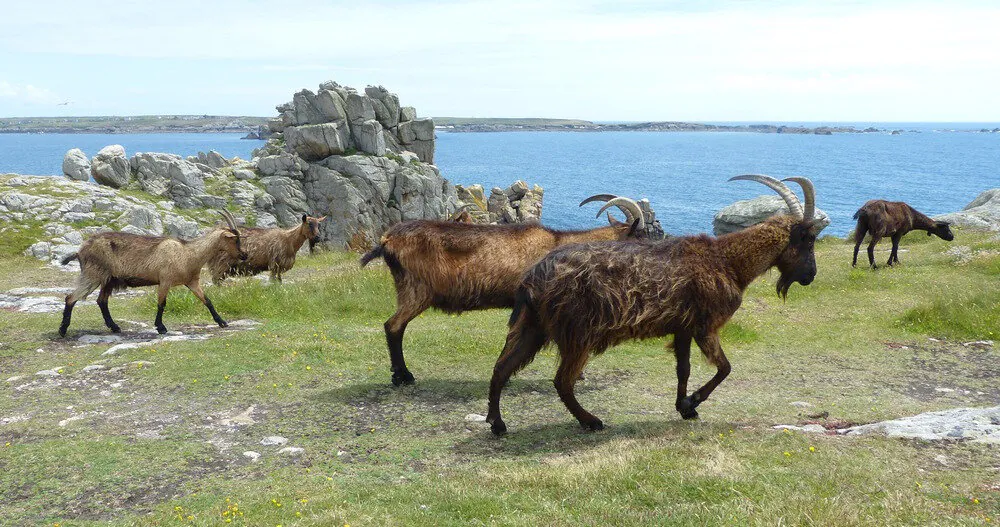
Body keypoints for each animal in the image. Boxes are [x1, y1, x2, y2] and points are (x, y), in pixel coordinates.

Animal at [59, 211, 248, 338]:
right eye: (235, 239)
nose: (245, 255)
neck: (190, 253)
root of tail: (80, 251)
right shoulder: (165, 280)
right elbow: (161, 304)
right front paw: (161, 327)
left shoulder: (192, 282)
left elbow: (207, 300)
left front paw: (222, 322)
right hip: (93, 275)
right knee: (71, 298)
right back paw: (62, 330)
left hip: (108, 279)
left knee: (101, 301)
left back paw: (115, 327)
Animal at [360, 196, 664, 386]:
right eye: (642, 235)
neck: (560, 245)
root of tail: (387, 240)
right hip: (417, 289)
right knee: (393, 326)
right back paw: (403, 377)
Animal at [484, 175, 820, 436]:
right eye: (808, 239)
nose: (810, 276)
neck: (727, 261)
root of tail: (534, 277)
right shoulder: (706, 325)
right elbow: (725, 368)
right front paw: (693, 402)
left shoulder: (683, 327)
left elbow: (683, 369)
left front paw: (684, 407)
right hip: (577, 333)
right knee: (562, 381)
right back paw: (590, 421)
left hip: (532, 327)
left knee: (501, 368)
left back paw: (497, 423)